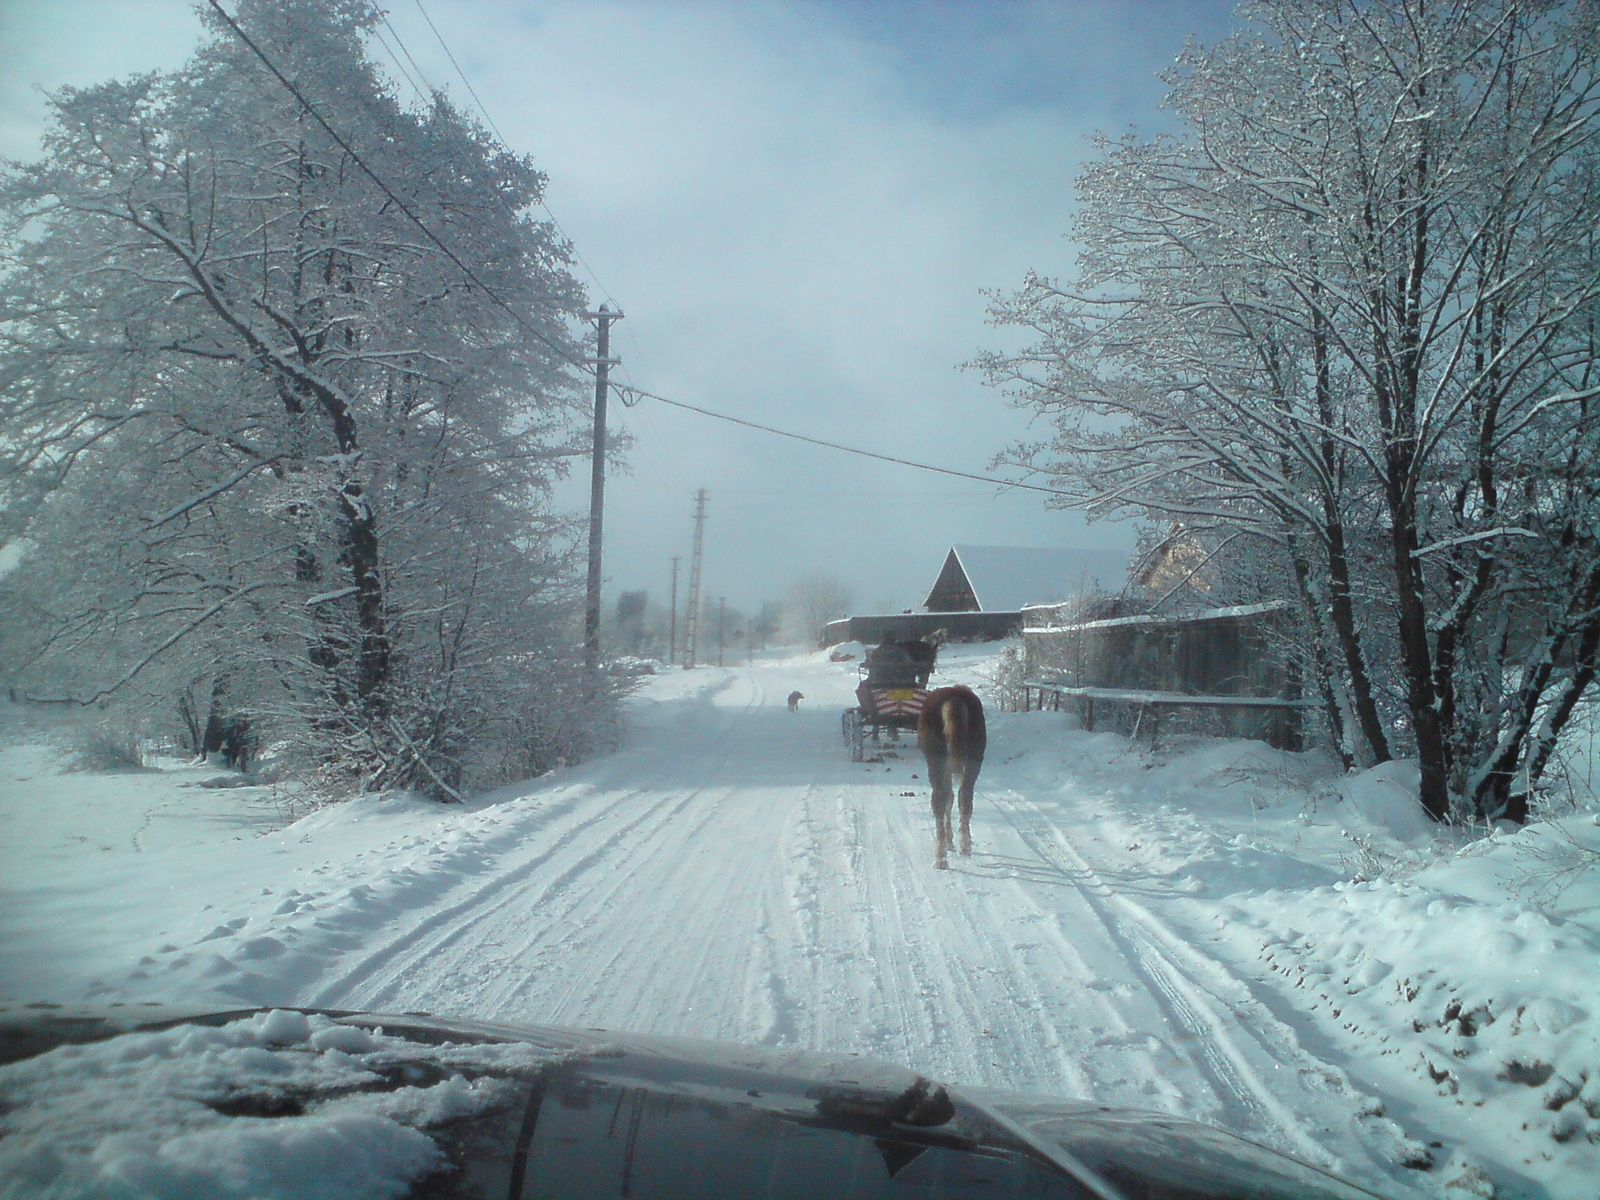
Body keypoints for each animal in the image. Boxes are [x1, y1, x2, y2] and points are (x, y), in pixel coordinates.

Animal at [921, 691, 979, 870]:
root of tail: (955, 697)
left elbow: (947, 799)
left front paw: (949, 840)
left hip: (935, 763)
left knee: (940, 800)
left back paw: (941, 857)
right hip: (972, 762)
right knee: (965, 798)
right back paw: (964, 846)